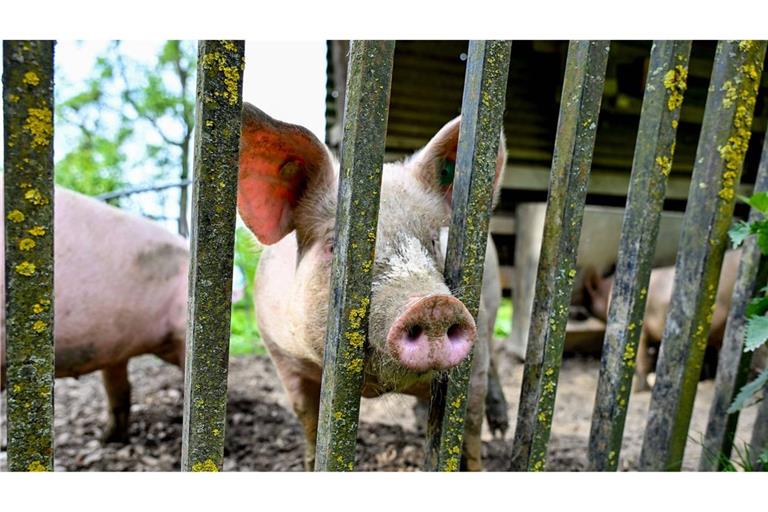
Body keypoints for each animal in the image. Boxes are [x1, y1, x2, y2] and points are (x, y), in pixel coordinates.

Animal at [237, 105, 508, 472]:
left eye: (433, 241)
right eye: (335, 246)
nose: (433, 304)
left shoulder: (473, 361)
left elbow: (470, 432)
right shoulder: (282, 356)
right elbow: (308, 420)